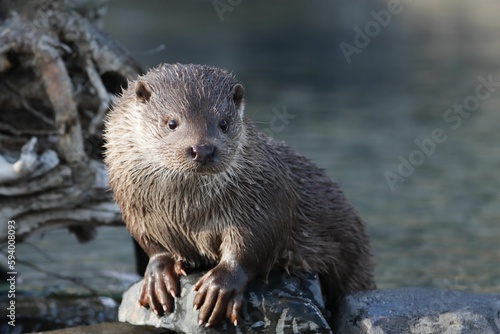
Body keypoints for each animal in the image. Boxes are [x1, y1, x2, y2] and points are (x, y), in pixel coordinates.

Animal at [104, 62, 376, 326]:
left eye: (223, 123)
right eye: (171, 122)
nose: (202, 149)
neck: (188, 213)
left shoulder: (266, 199)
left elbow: (254, 244)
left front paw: (219, 286)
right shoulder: (137, 211)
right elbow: (154, 245)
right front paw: (158, 276)